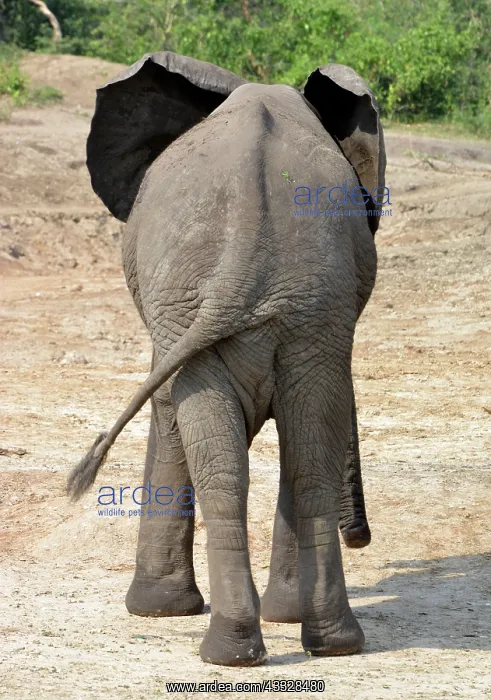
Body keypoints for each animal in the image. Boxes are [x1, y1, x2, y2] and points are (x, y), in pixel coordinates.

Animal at [67, 51, 384, 667]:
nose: (361, 538)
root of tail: (246, 248)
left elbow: (168, 412)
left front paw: (158, 611)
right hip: (301, 312)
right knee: (302, 451)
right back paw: (319, 645)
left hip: (250, 302)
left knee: (249, 451)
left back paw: (239, 649)